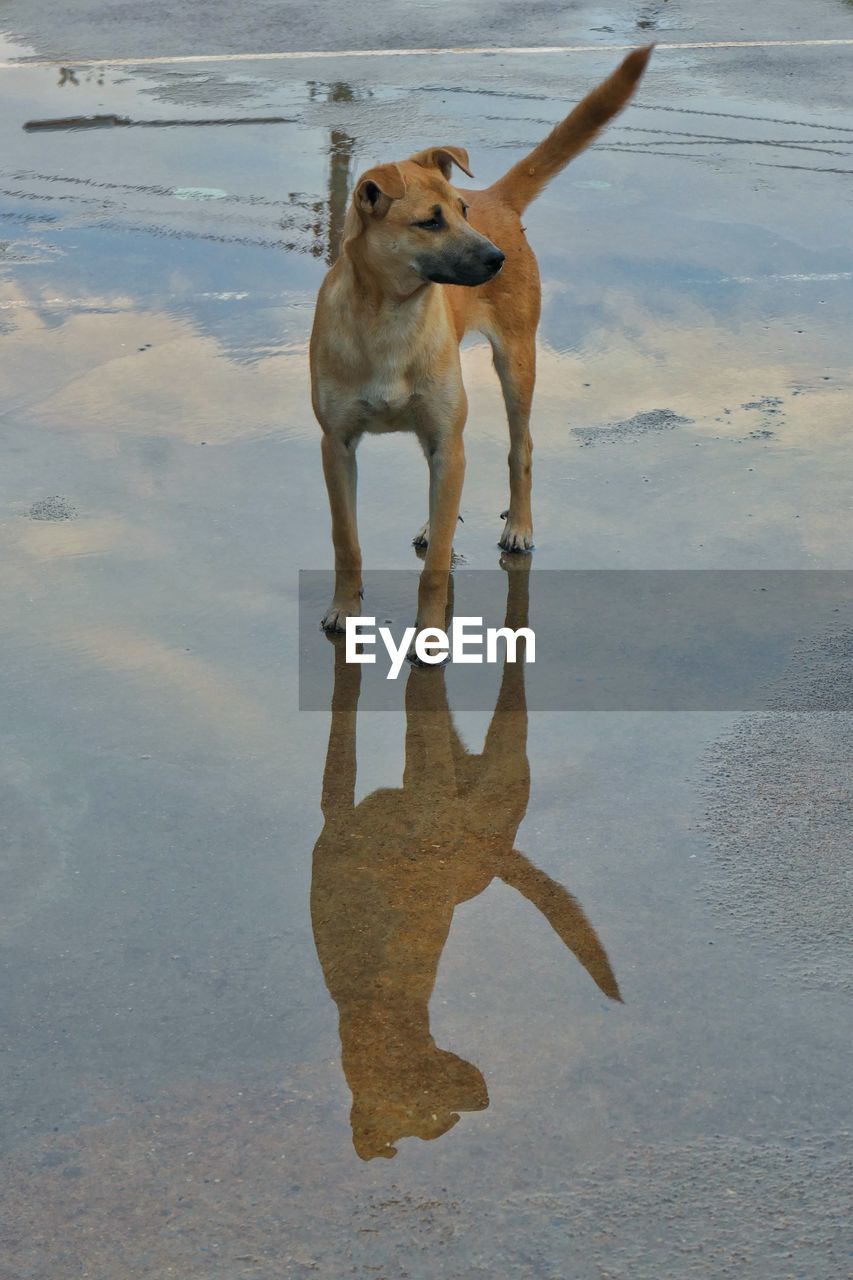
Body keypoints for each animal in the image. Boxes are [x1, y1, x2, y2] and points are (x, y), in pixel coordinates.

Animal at [311, 47, 650, 632]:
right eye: (430, 222)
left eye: (462, 212)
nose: (497, 259)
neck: (390, 318)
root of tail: (497, 197)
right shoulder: (338, 446)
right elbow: (345, 541)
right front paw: (344, 609)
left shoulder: (448, 438)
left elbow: (437, 567)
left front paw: (429, 634)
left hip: (516, 364)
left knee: (522, 449)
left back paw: (519, 526)